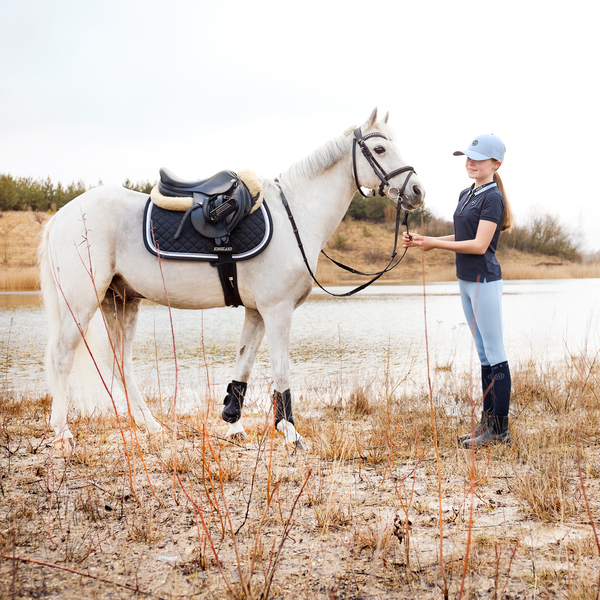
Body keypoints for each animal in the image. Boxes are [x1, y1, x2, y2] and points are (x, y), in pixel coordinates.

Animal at [38, 109, 422, 454]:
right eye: (380, 149)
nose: (417, 191)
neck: (294, 218)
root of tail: (64, 214)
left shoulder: (256, 312)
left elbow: (244, 363)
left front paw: (233, 421)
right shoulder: (277, 311)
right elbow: (281, 371)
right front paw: (291, 433)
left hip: (120, 301)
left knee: (121, 365)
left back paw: (152, 426)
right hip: (82, 303)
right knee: (61, 358)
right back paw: (62, 433)